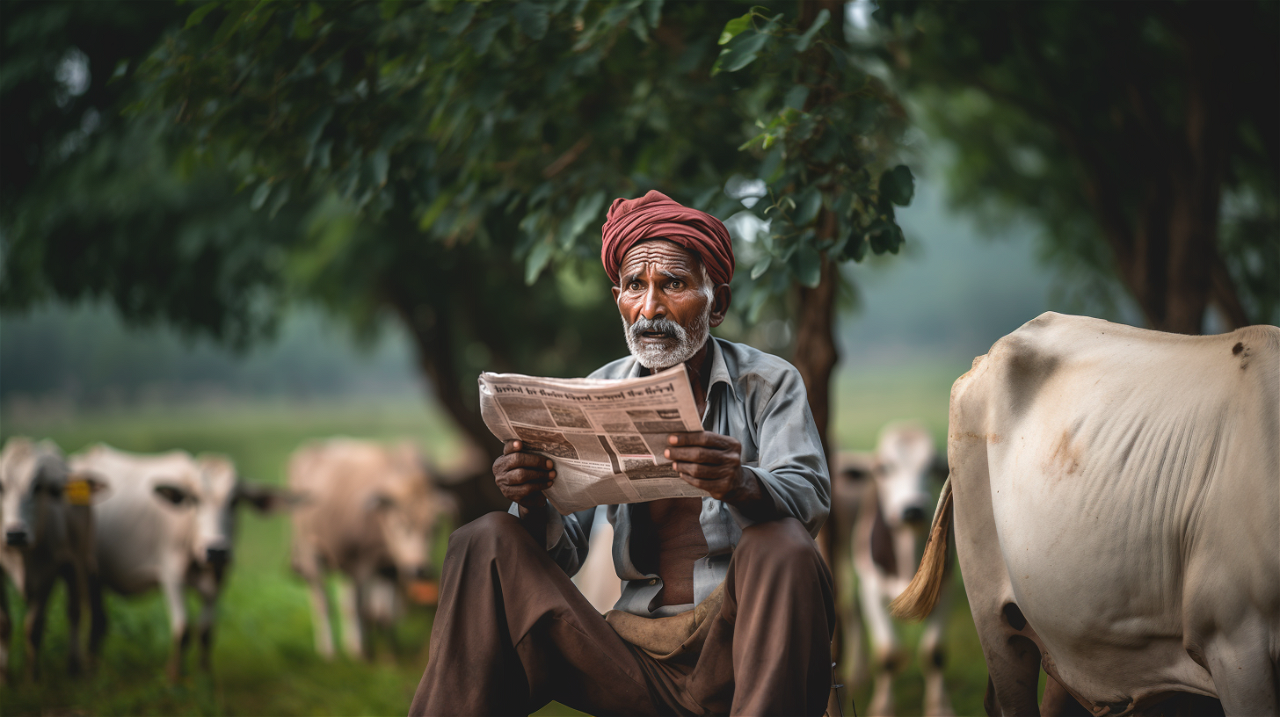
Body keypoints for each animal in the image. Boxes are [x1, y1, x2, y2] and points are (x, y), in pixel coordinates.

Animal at [0, 440, 104, 681]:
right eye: (1, 487)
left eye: (37, 487)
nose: (15, 534)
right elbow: (4, 624)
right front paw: (4, 677)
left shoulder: (49, 571)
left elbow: (34, 626)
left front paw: (32, 678)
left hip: (77, 561)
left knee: (74, 610)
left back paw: (74, 666)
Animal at [71, 445, 286, 681]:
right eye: (195, 500)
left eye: (234, 501)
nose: (216, 550)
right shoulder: (172, 577)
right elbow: (183, 630)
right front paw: (174, 676)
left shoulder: (219, 579)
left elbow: (206, 631)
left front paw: (204, 675)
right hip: (88, 570)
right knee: (97, 620)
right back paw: (91, 666)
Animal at [288, 437, 453, 660]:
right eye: (399, 524)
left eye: (434, 527)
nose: (418, 569)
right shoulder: (361, 564)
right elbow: (362, 610)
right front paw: (364, 654)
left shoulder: (389, 570)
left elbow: (386, 615)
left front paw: (391, 654)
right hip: (310, 551)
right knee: (323, 602)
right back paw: (330, 651)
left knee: (345, 602)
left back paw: (350, 646)